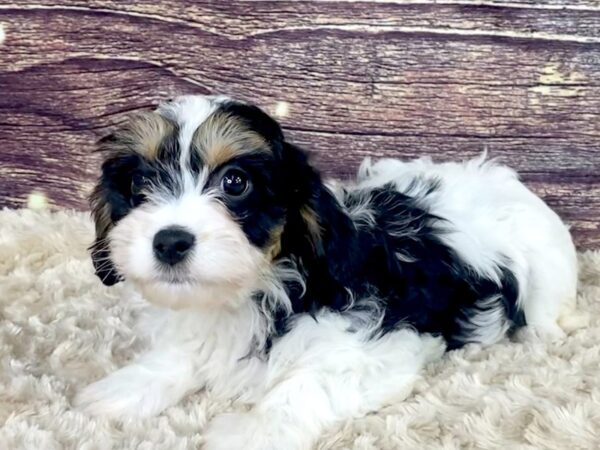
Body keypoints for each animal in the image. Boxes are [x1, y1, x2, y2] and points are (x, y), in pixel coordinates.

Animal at [72, 93, 580, 448]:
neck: (259, 288)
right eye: (140, 182)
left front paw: (253, 431)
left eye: (235, 182)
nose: (170, 241)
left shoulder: (388, 345)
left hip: (547, 266)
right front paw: (124, 388)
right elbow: (179, 354)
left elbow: (308, 383)